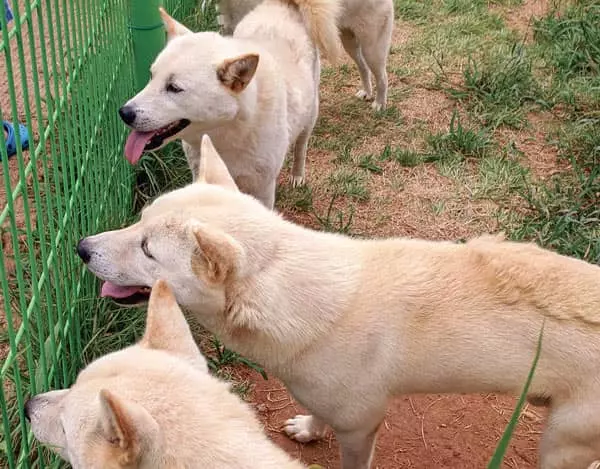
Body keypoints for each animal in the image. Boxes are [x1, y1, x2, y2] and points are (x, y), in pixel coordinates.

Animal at [214, 0, 394, 110]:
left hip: (372, 48)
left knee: (382, 77)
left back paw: (379, 103)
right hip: (349, 41)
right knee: (363, 68)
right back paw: (367, 93)